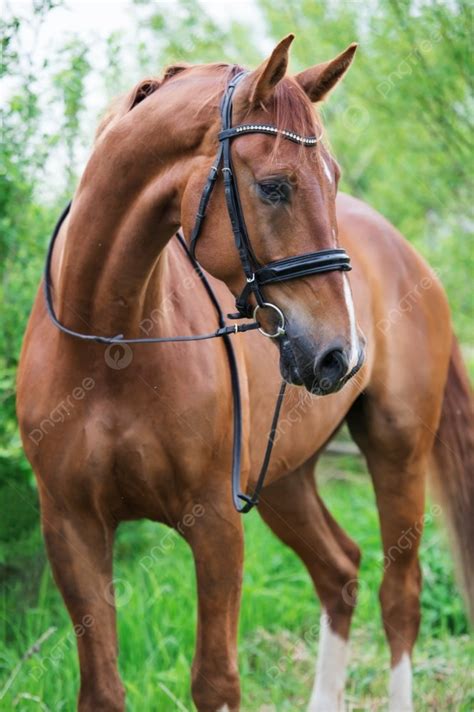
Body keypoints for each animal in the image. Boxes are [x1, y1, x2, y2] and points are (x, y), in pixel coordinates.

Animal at [16, 35, 472, 712]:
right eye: (275, 187)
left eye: (333, 178)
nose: (341, 354)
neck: (111, 344)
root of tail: (405, 252)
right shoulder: (71, 529)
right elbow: (101, 688)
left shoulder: (214, 525)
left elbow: (216, 681)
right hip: (284, 476)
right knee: (339, 572)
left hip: (398, 450)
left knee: (400, 599)